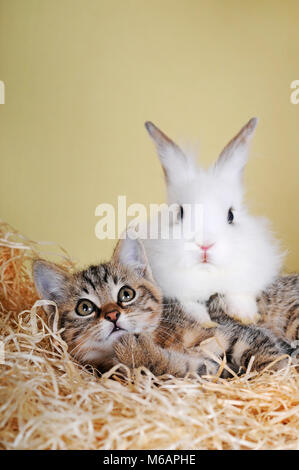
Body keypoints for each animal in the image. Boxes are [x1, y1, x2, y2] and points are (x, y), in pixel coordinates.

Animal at [32, 239, 298, 378]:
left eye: (126, 294)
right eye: (84, 307)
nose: (112, 315)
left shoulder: (232, 329)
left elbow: (262, 353)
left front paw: (274, 374)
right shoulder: (210, 370)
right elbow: (173, 368)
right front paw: (138, 354)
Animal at [144, 117, 284, 324]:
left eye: (231, 215)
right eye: (180, 213)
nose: (205, 245)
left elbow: (239, 296)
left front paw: (246, 316)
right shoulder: (179, 292)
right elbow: (191, 306)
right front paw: (206, 323)